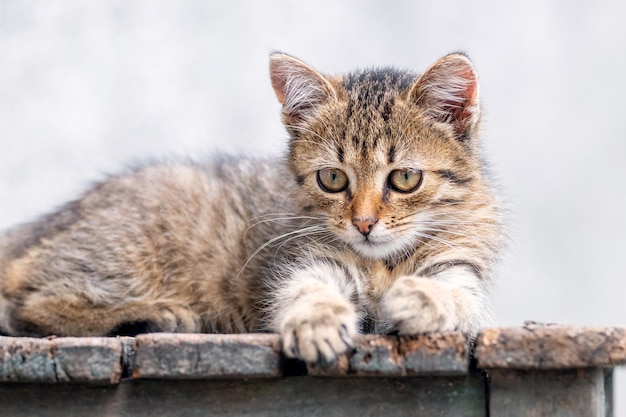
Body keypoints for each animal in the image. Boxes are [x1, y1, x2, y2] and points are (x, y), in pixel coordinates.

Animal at [0, 52, 500, 364]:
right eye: (333, 179)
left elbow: (457, 297)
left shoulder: (460, 267)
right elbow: (305, 291)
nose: (363, 223)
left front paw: (420, 298)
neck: (381, 264)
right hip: (123, 253)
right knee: (28, 304)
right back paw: (157, 314)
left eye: (405, 178)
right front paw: (317, 322)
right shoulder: (305, 260)